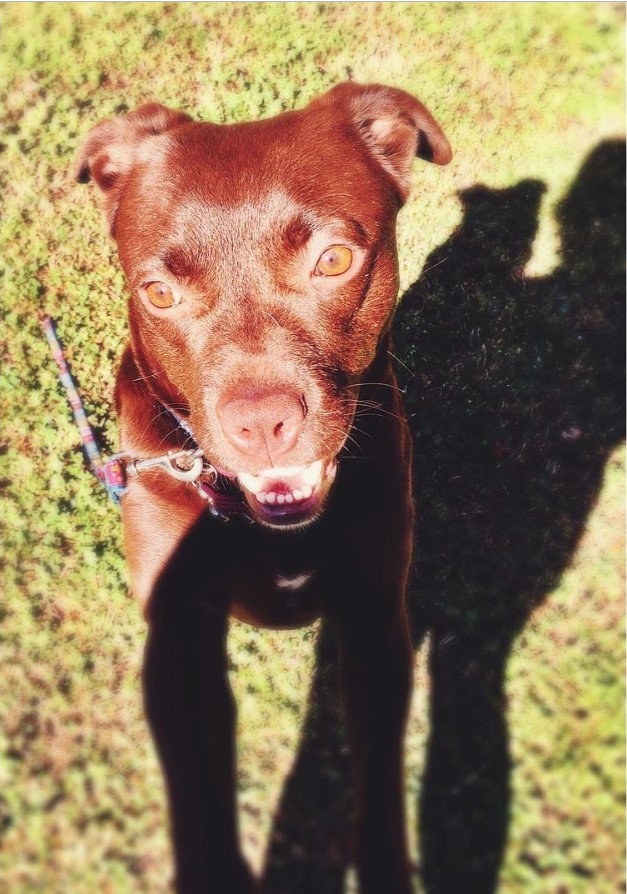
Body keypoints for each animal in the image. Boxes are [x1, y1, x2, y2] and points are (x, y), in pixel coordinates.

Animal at [77, 84, 452, 894]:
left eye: (334, 259)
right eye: (158, 292)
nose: (260, 423)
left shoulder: (374, 617)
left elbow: (379, 789)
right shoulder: (180, 632)